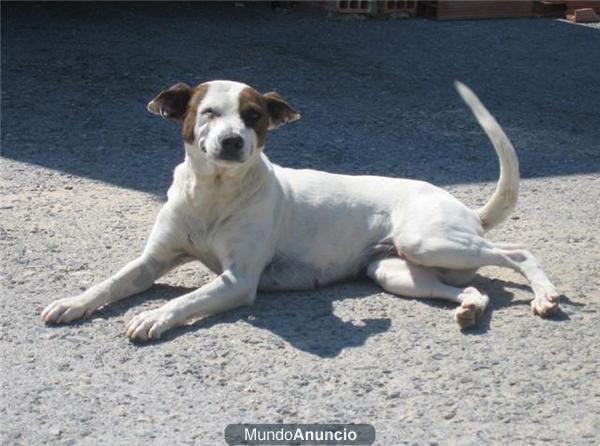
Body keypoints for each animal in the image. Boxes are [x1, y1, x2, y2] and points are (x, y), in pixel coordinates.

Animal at [41, 80, 556, 340]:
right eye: (208, 112)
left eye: (254, 116)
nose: (233, 141)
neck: (214, 194)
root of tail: (463, 207)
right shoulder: (152, 262)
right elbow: (111, 282)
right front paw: (73, 303)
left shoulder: (237, 281)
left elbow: (184, 299)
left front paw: (154, 317)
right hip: (395, 271)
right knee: (476, 287)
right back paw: (470, 307)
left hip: (429, 240)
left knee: (517, 252)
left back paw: (545, 294)